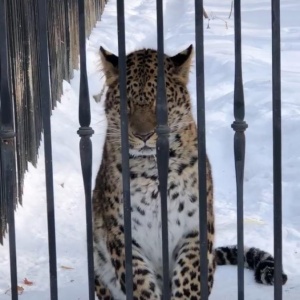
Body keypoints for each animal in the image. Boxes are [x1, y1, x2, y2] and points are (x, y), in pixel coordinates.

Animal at [92, 45, 288, 300]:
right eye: (126, 103)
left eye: (161, 103)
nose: (144, 135)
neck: (152, 170)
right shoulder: (122, 234)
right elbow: (140, 284)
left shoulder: (195, 228)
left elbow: (189, 278)